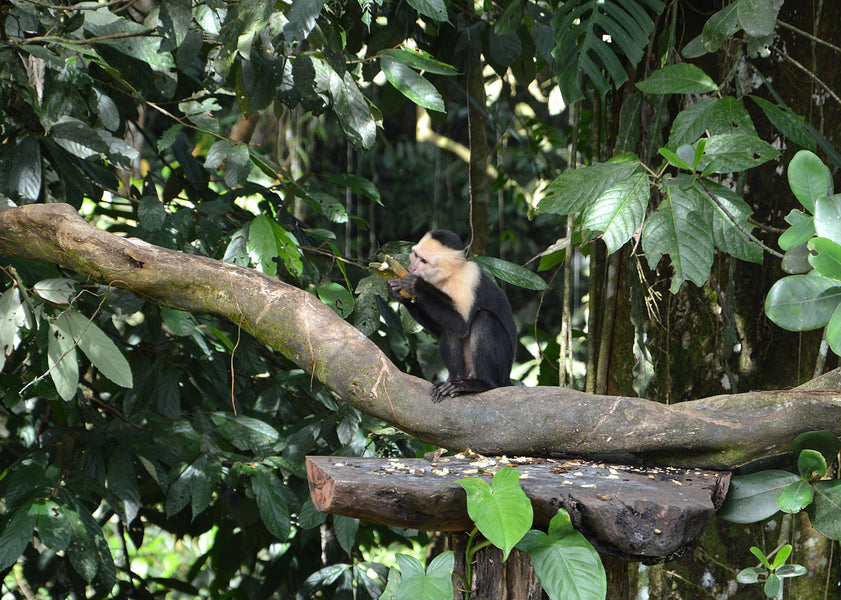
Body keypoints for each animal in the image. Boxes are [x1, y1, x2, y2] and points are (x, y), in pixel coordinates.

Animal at [386, 230, 516, 404]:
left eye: (424, 261)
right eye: (415, 255)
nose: (412, 268)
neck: (448, 275)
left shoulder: (468, 277)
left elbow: (463, 326)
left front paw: (417, 285)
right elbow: (440, 330)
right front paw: (397, 292)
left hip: (502, 369)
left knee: (484, 319)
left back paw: (482, 384)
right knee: (450, 328)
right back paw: (454, 382)